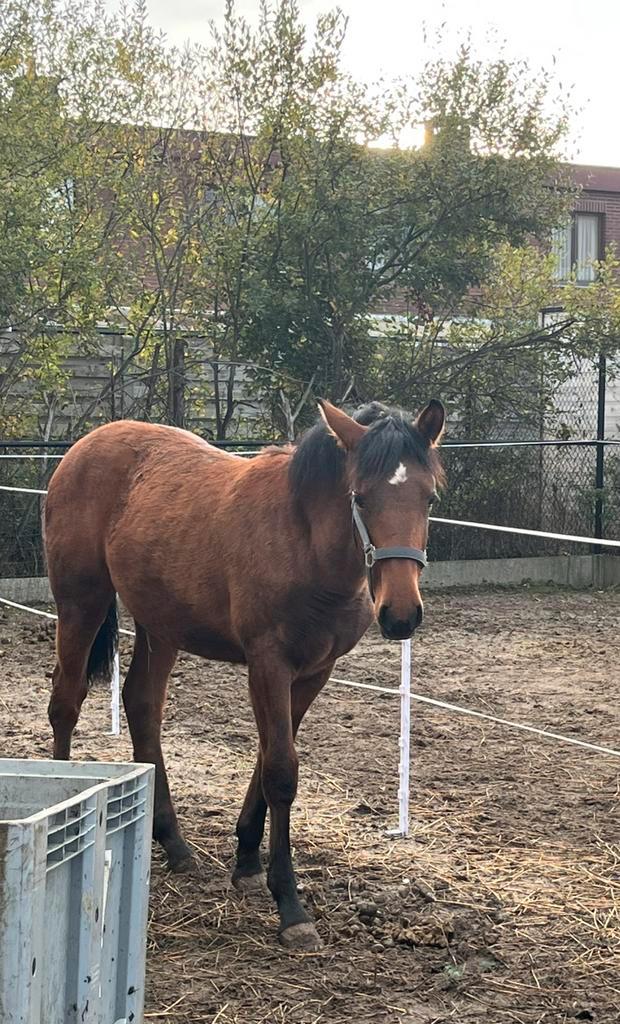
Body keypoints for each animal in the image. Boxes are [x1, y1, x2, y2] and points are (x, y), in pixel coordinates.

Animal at [44, 398, 445, 951]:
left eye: (428, 497)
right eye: (359, 498)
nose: (401, 615)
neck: (304, 541)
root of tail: (82, 448)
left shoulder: (313, 671)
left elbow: (270, 756)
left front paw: (248, 861)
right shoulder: (269, 664)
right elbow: (280, 769)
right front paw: (290, 905)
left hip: (159, 624)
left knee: (142, 704)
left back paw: (173, 843)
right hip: (80, 603)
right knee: (66, 700)